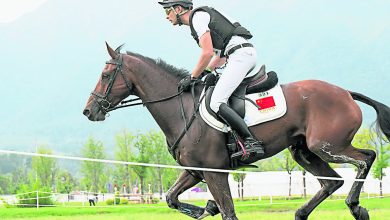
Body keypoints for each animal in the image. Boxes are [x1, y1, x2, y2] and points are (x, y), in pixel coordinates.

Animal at [83, 43, 390, 220]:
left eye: (106, 76)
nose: (89, 111)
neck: (182, 109)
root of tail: (346, 93)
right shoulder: (195, 171)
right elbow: (171, 198)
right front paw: (205, 208)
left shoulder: (215, 173)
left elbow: (228, 213)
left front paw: (210, 207)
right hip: (303, 151)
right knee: (331, 182)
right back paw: (303, 212)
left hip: (327, 146)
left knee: (366, 158)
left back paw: (355, 205)